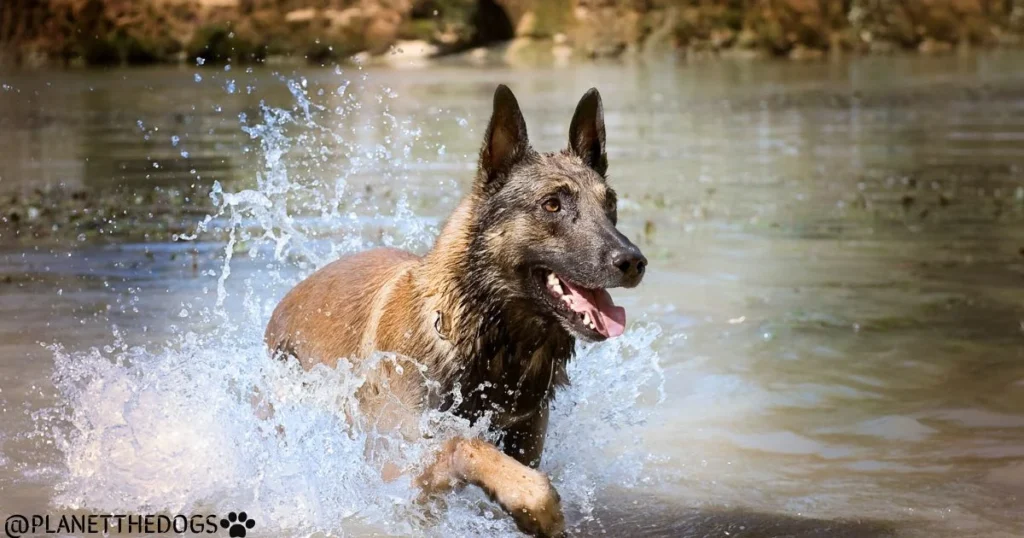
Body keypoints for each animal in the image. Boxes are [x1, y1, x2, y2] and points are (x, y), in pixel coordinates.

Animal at [264, 86, 647, 532]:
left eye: (611, 205)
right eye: (552, 204)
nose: (633, 262)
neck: (489, 341)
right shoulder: (396, 466)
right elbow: (465, 444)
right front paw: (532, 499)